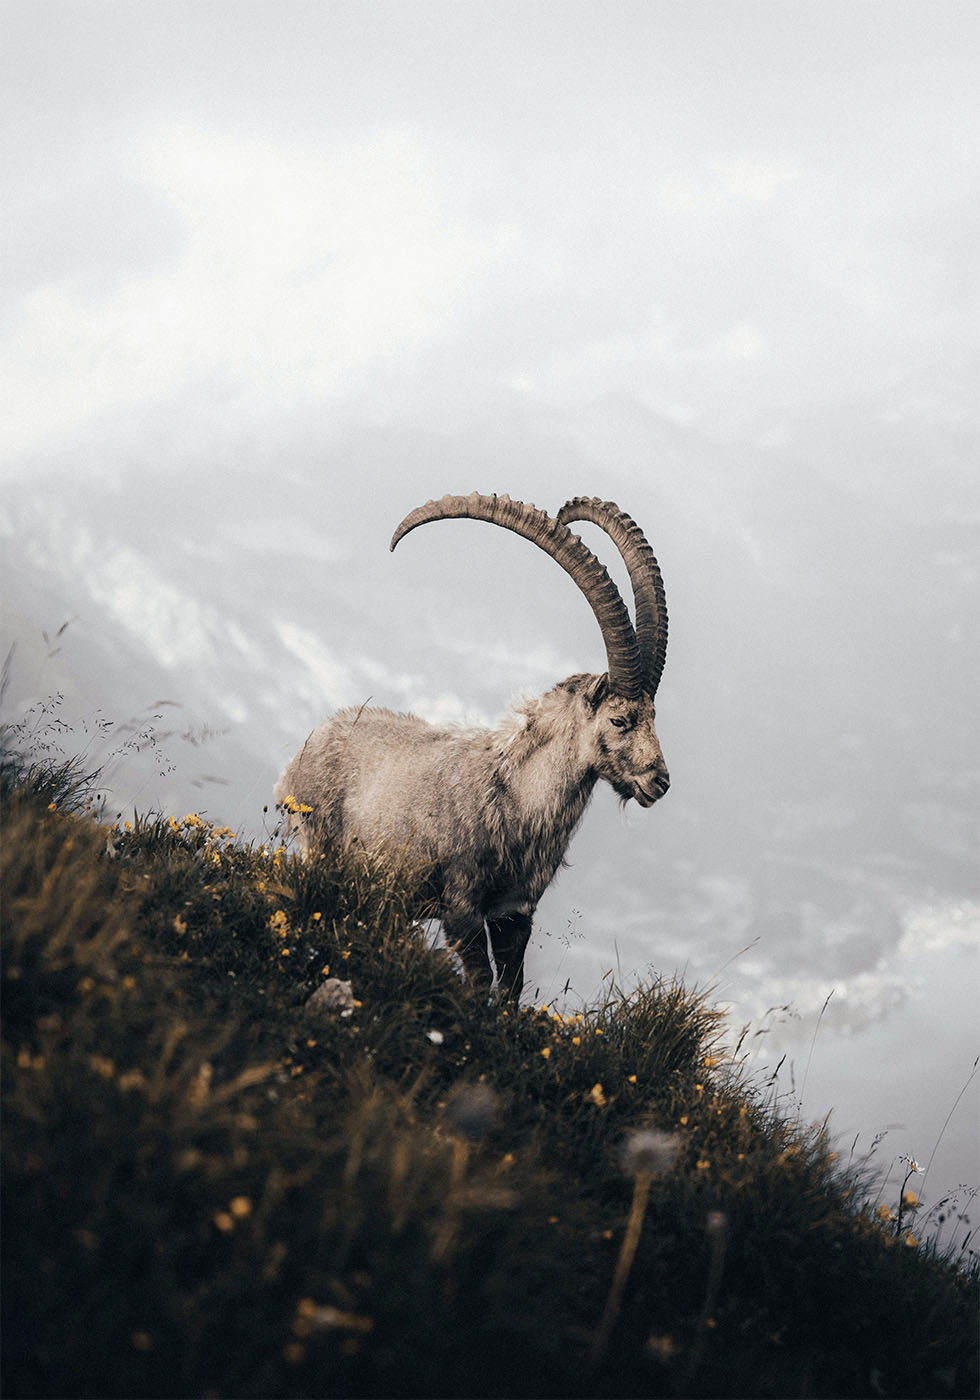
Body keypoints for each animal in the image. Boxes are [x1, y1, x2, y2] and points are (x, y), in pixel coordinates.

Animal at [276, 493, 669, 999]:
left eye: (655, 718)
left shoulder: (514, 914)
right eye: (620, 719)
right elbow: (479, 983)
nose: (659, 781)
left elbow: (509, 992)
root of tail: (305, 749)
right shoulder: (461, 906)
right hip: (320, 847)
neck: (516, 797)